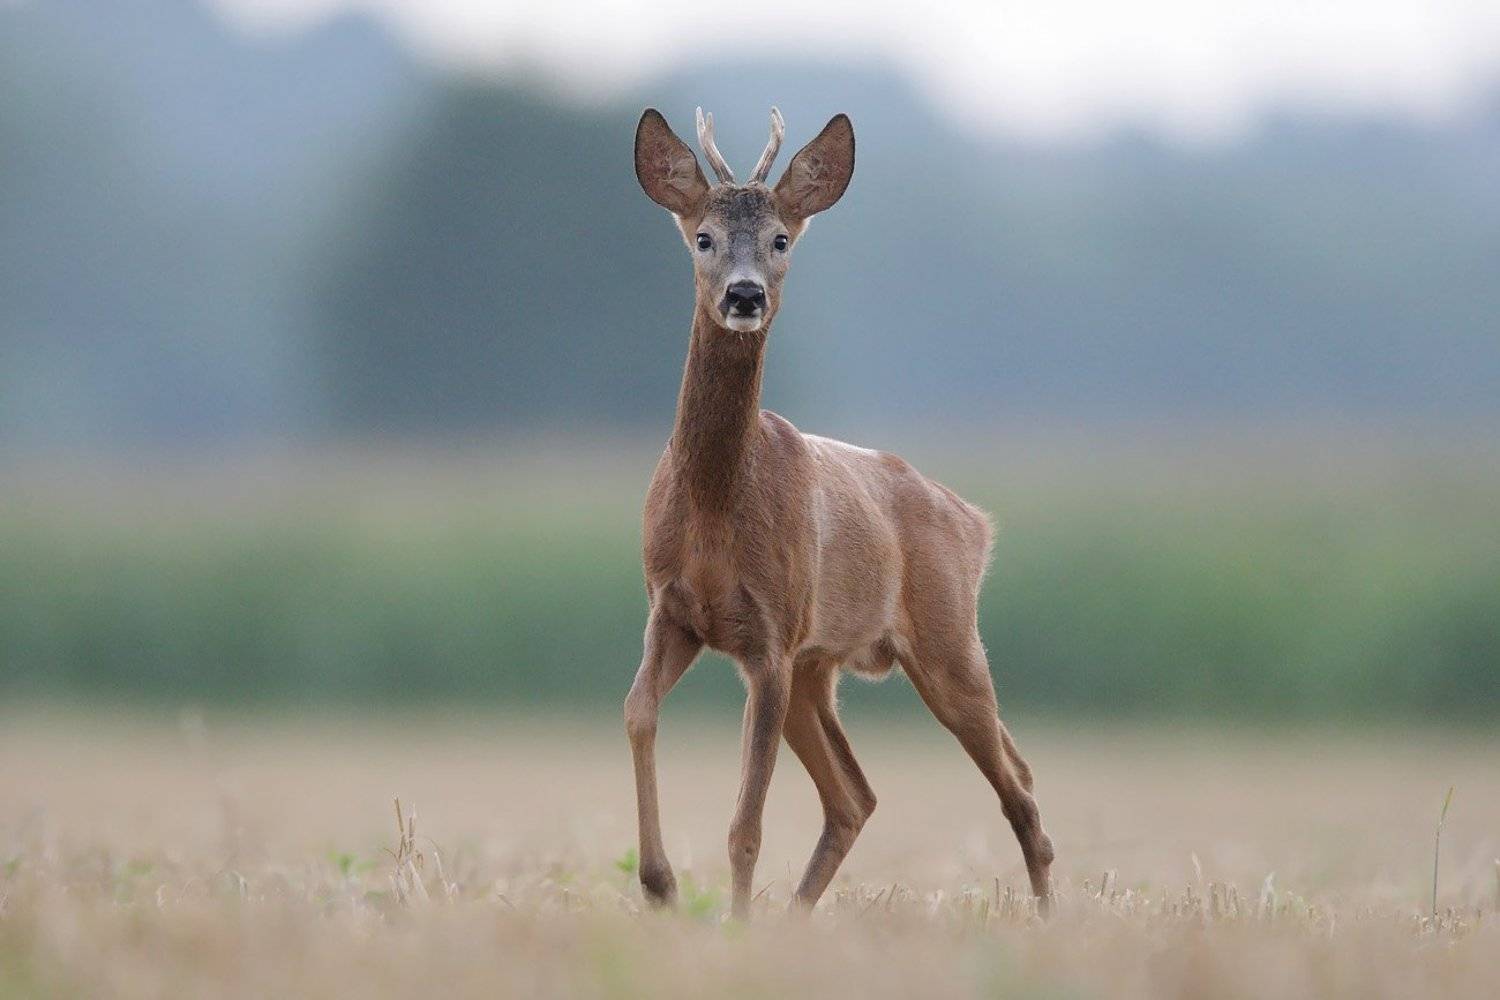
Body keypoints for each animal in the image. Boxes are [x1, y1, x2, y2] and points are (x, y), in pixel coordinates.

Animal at [626, 106, 1055, 920]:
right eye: (703, 236)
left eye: (781, 239)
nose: (744, 296)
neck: (714, 510)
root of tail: (973, 522)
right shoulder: (674, 610)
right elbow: (638, 713)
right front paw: (660, 886)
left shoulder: (770, 638)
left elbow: (747, 822)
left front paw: (733, 923)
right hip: (820, 666)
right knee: (857, 796)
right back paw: (798, 917)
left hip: (946, 639)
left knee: (1017, 783)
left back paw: (1048, 916)